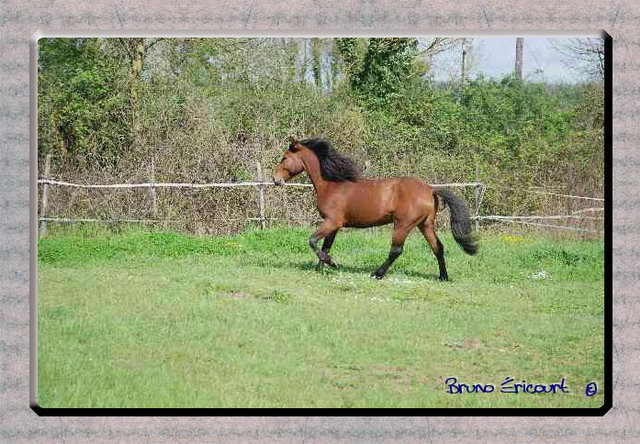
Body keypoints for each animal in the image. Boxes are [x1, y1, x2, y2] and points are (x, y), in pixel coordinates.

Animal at [270, 137, 476, 280]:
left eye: (285, 158)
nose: (275, 179)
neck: (330, 185)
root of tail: (430, 189)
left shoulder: (332, 222)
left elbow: (312, 241)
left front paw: (333, 264)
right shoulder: (334, 225)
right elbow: (325, 246)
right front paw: (320, 268)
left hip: (403, 225)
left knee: (396, 250)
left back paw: (377, 274)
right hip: (425, 224)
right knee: (437, 247)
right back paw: (443, 277)